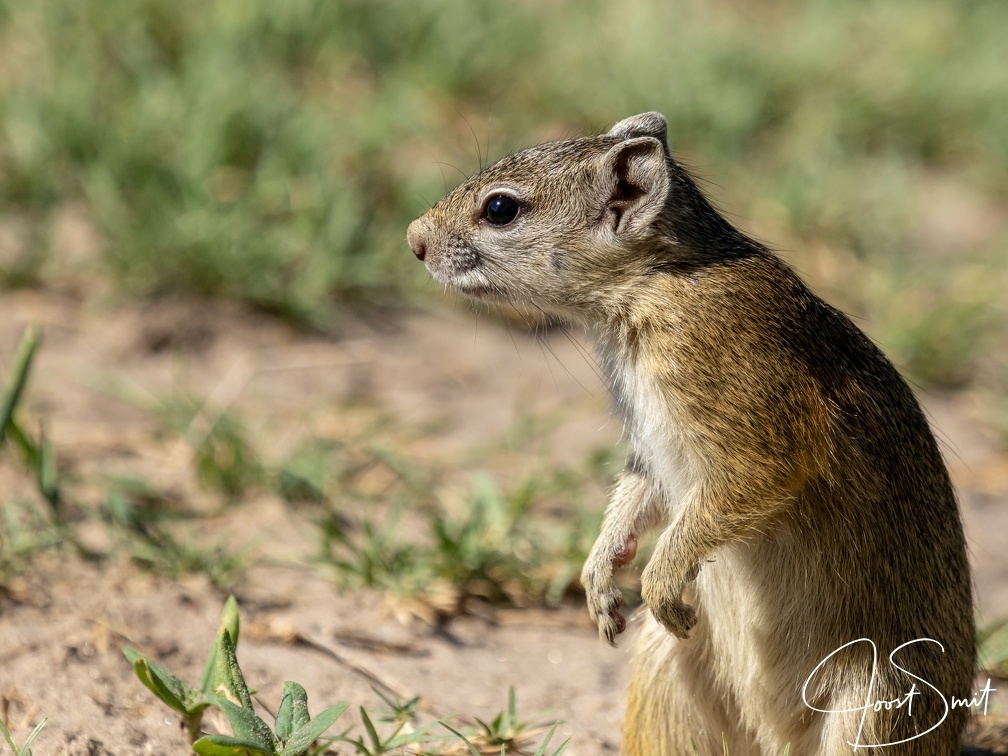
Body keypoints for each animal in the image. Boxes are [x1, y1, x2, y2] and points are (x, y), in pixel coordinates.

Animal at [407, 113, 1005, 755]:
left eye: (500, 208)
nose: (413, 239)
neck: (654, 287)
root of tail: (776, 741)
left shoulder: (759, 437)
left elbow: (723, 503)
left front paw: (659, 582)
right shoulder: (651, 454)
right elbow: (631, 505)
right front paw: (599, 583)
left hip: (871, 716)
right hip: (663, 672)